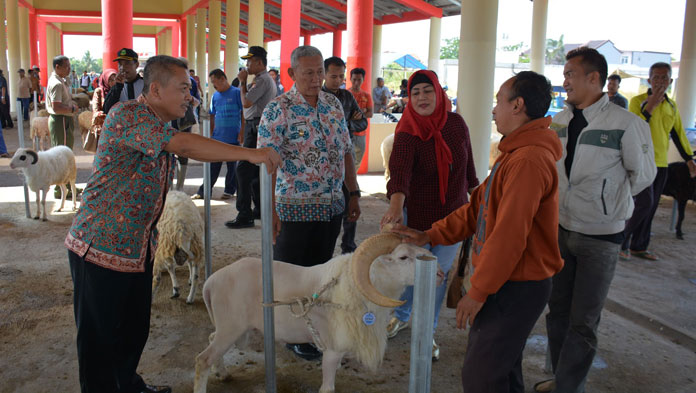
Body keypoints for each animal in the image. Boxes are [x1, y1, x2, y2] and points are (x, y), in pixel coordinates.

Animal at [193, 231, 436, 390]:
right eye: (403, 257)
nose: (440, 272)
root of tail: (211, 281)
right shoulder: (332, 348)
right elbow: (327, 388)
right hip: (231, 326)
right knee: (203, 359)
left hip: (232, 328)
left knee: (211, 339)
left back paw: (222, 373)